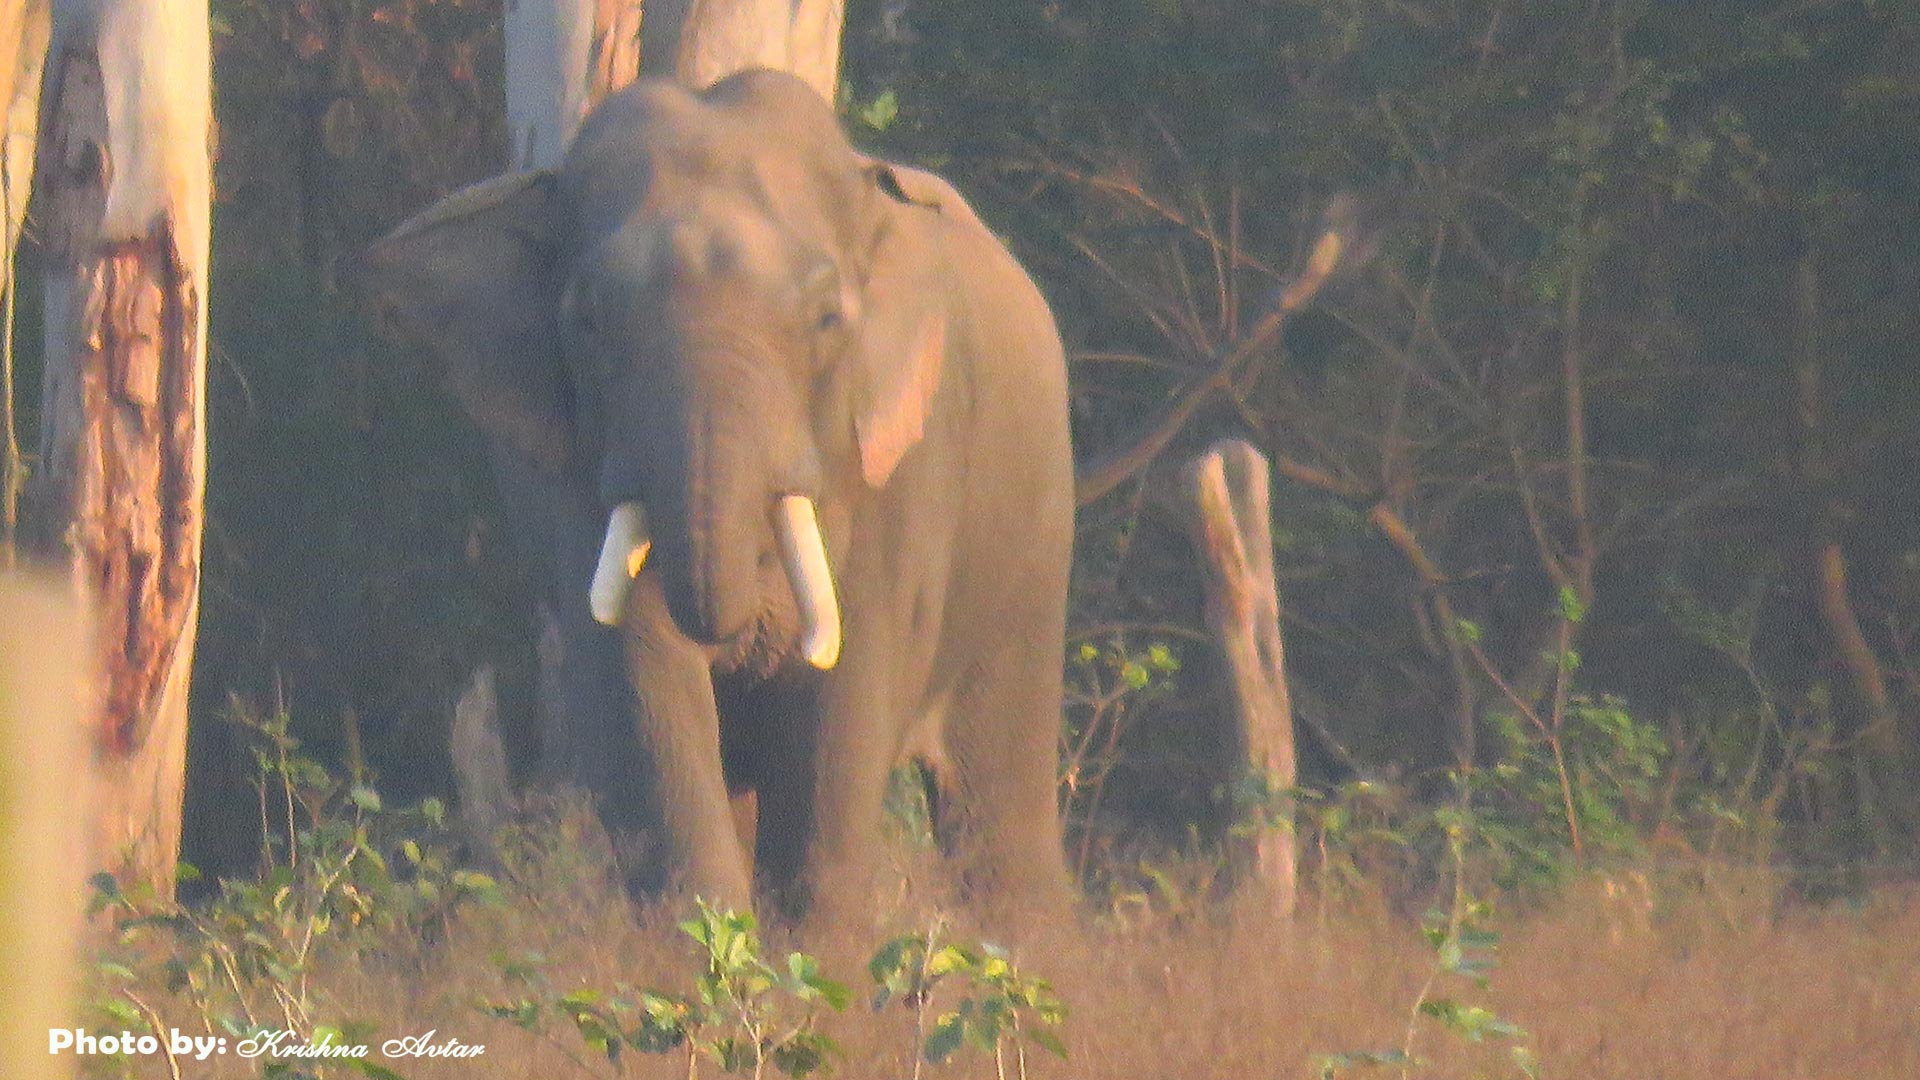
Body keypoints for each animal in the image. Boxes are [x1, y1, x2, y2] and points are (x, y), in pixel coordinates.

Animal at [365, 68, 1075, 923]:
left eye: (827, 318)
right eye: (588, 321)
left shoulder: (900, 474)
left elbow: (841, 719)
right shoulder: (578, 480)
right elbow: (645, 690)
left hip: (1033, 549)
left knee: (999, 813)